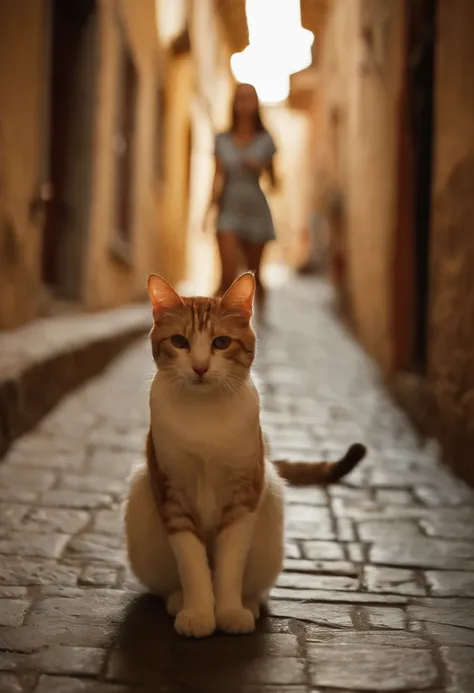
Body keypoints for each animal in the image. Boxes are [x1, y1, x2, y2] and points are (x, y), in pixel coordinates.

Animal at [123, 272, 366, 636]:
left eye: (221, 343)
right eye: (179, 341)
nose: (199, 367)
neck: (205, 415)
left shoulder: (243, 498)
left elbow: (228, 567)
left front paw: (229, 612)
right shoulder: (171, 494)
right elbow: (193, 565)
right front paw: (199, 613)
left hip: (271, 498)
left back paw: (248, 603)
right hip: (142, 492)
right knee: (169, 583)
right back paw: (178, 600)